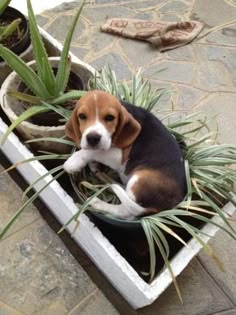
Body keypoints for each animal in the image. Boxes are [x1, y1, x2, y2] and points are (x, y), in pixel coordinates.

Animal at [63, 90, 187, 221]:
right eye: (82, 116)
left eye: (110, 117)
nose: (92, 138)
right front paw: (91, 163)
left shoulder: (119, 158)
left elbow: (96, 151)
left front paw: (74, 161)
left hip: (139, 180)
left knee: (126, 212)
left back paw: (98, 203)